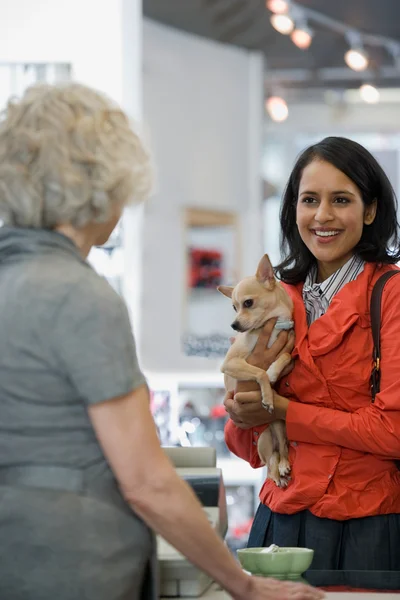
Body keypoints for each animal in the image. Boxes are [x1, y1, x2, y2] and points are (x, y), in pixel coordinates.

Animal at [219, 253, 294, 488]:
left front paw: (273, 373)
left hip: (279, 424)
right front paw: (267, 392)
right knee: (269, 463)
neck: (274, 326)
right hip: (262, 440)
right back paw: (277, 475)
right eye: (234, 308)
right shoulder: (230, 364)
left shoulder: (289, 353)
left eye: (248, 303)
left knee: (282, 449)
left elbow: (286, 356)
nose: (234, 325)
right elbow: (259, 372)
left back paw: (284, 465)